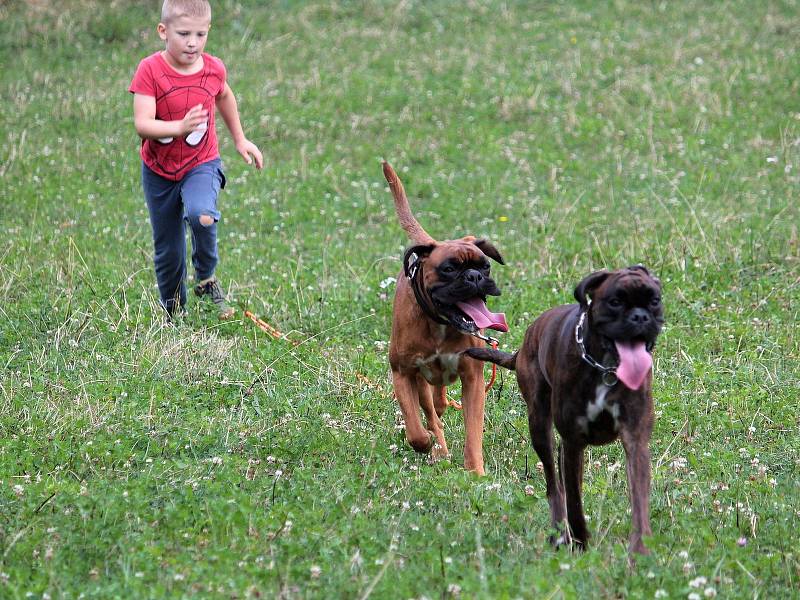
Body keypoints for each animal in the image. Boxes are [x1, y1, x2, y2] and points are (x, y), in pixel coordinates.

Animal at [382, 162, 506, 476]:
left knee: (437, 401)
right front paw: (427, 443)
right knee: (429, 409)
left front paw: (475, 472)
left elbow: (473, 432)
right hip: (418, 379)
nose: (474, 277)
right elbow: (415, 428)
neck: (440, 323)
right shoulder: (403, 374)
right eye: (449, 269)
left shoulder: (473, 380)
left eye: (485, 266)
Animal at [468, 268, 664, 552]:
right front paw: (581, 542)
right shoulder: (573, 442)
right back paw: (560, 533)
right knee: (554, 485)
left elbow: (639, 500)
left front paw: (639, 551)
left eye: (654, 301)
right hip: (540, 427)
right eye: (615, 302)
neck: (605, 368)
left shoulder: (635, 440)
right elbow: (573, 501)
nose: (640, 316)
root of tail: (525, 343)